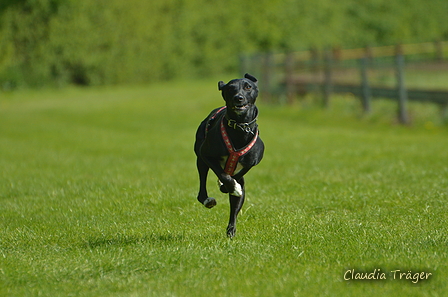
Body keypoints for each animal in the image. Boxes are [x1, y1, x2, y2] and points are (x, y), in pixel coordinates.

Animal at [194, 73, 264, 237]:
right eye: (231, 88)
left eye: (248, 86)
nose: (238, 98)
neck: (240, 127)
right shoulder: (206, 155)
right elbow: (223, 175)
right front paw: (230, 185)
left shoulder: (251, 163)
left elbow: (236, 177)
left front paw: (229, 187)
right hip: (200, 160)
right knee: (202, 187)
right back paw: (208, 199)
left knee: (235, 207)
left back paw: (231, 230)